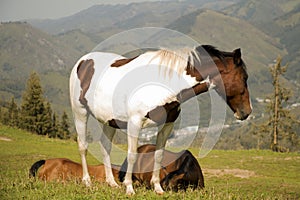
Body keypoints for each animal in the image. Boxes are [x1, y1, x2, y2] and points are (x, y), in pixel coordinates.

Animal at [69, 44, 252, 195]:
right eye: (244, 78)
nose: (246, 112)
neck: (163, 83)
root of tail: (83, 61)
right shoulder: (135, 123)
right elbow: (132, 155)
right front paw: (129, 188)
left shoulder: (167, 125)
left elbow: (158, 155)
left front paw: (157, 188)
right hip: (80, 113)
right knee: (83, 146)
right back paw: (87, 182)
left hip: (110, 121)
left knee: (105, 147)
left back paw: (111, 183)